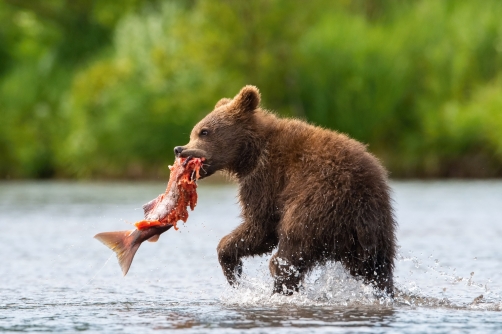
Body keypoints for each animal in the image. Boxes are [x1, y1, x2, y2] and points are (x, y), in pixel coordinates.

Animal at [175, 85, 398, 294]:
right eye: (193, 132)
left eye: (204, 131)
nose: (179, 149)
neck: (251, 154)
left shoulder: (266, 180)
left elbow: (260, 226)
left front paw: (232, 269)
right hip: (375, 229)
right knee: (375, 268)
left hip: (319, 203)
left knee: (291, 247)